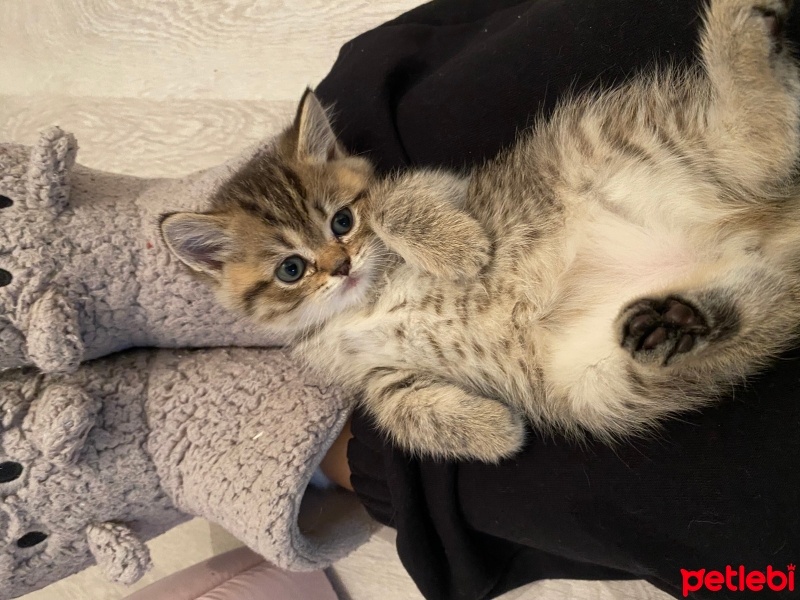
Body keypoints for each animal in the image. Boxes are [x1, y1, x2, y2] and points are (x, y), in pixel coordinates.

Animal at [161, 0, 800, 462]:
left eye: (342, 220)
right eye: (291, 269)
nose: (340, 266)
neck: (362, 303)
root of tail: (773, 228)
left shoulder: (447, 186)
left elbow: (395, 201)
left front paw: (460, 250)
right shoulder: (373, 373)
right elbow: (398, 407)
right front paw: (491, 430)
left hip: (646, 143)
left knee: (762, 139)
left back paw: (739, 29)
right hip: (604, 383)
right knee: (735, 315)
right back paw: (675, 324)